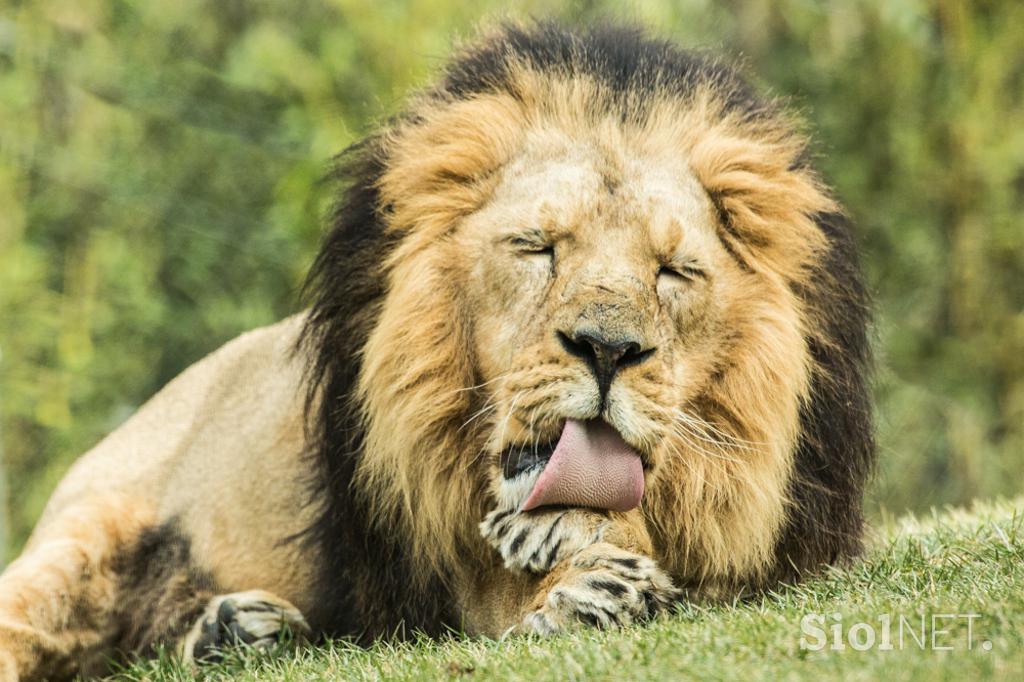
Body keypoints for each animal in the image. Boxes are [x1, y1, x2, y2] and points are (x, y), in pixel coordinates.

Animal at [0, 21, 872, 679]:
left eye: (675, 270)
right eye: (536, 247)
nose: (607, 349)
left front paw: (589, 575)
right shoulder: (439, 570)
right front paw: (579, 566)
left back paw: (233, 631)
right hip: (76, 537)